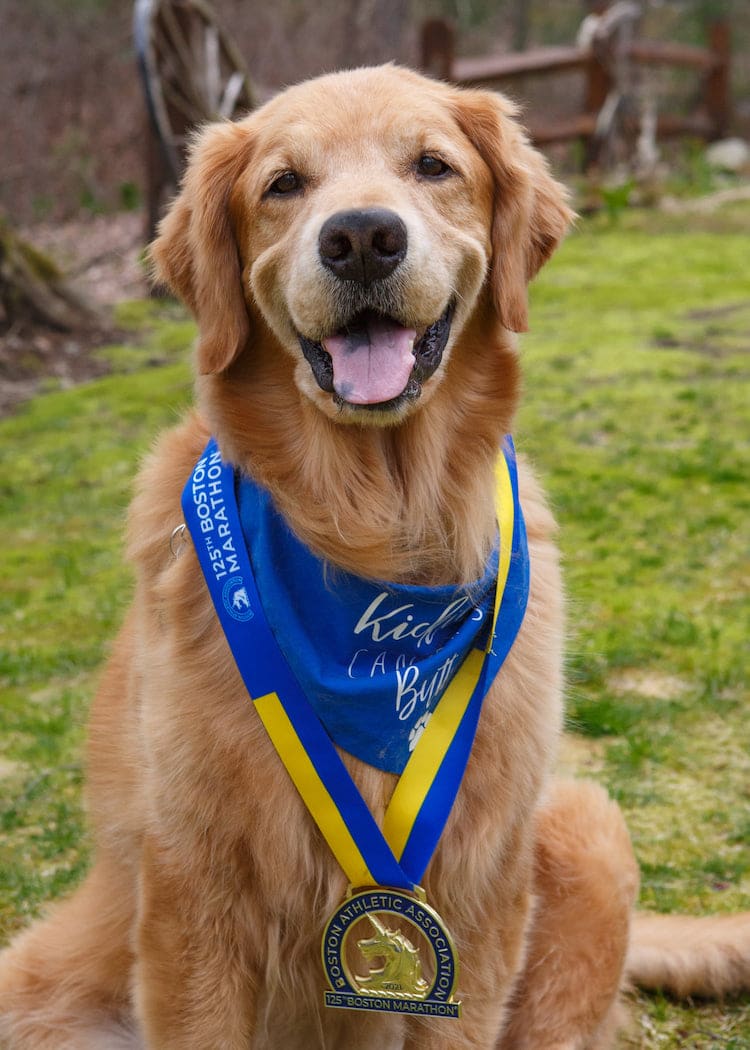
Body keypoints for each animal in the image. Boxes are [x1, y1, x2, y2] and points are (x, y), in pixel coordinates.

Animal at [1, 65, 747, 1050]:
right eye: (283, 184)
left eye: (432, 165)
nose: (361, 238)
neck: (379, 543)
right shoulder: (194, 897)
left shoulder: (476, 895)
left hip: (586, 828)